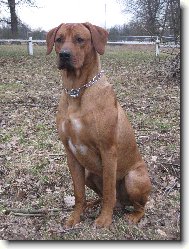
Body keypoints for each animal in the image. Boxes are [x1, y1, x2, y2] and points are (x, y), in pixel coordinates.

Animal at [46, 22, 151, 229]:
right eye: (59, 39)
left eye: (80, 39)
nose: (64, 55)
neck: (77, 90)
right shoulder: (70, 154)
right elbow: (79, 193)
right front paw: (75, 217)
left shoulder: (108, 150)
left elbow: (110, 191)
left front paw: (104, 220)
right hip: (89, 174)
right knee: (104, 197)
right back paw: (92, 204)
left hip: (133, 178)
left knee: (138, 205)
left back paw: (133, 215)